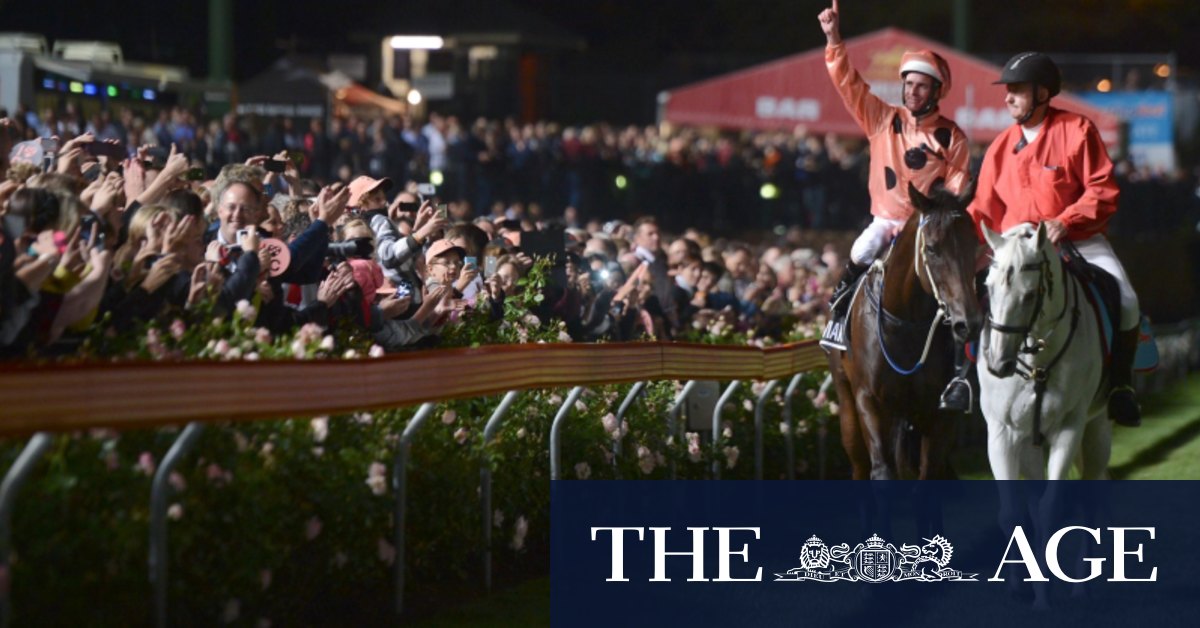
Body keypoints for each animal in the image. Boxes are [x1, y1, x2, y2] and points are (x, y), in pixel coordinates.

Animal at [828, 182, 983, 482]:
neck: (905, 322)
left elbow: (929, 470)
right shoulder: (870, 400)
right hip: (846, 398)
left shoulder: (938, 415)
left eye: (974, 245)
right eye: (932, 249)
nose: (969, 322)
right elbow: (882, 470)